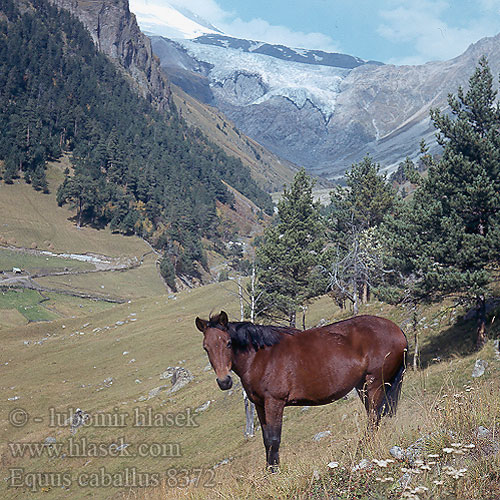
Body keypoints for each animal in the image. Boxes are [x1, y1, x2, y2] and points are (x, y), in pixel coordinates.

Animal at [194, 310, 406, 470]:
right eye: (205, 348)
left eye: (228, 343)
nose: (224, 381)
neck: (261, 356)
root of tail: (397, 330)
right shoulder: (260, 405)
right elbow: (266, 440)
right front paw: (268, 472)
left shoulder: (274, 402)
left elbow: (274, 439)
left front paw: (275, 473)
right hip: (364, 387)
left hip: (374, 384)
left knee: (373, 418)